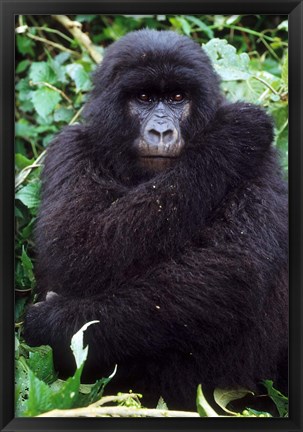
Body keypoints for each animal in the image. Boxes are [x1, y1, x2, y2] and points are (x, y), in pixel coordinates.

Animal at [23, 28, 288, 410]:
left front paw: (53, 324)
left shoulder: (264, 161)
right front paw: (233, 135)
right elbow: (77, 249)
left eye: (177, 97)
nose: (161, 132)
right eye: (144, 97)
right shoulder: (67, 148)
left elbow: (232, 266)